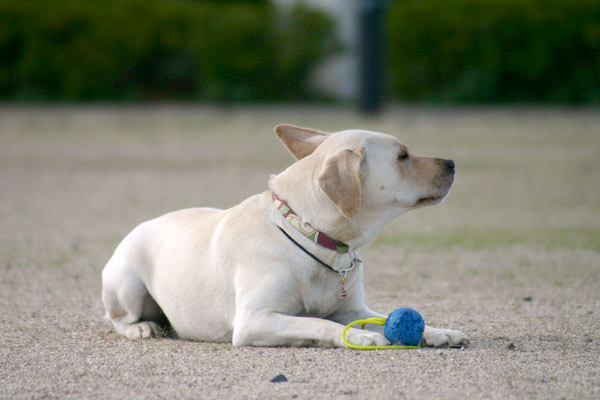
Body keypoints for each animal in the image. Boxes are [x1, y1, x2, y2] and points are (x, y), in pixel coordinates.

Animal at [102, 124, 468, 346]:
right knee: (117, 317)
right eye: (402, 156)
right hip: (127, 285)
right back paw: (141, 327)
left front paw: (438, 332)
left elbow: (382, 315)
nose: (452, 163)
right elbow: (320, 323)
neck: (315, 237)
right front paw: (361, 339)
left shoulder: (354, 312)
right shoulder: (255, 320)